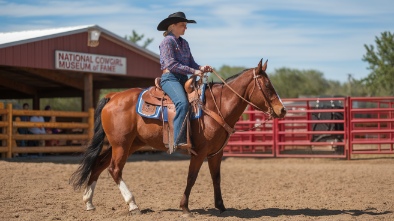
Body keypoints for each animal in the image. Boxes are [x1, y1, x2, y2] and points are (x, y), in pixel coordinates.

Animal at [70, 57, 286, 217]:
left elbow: (216, 178)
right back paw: (133, 205)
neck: (215, 107)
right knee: (114, 169)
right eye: (268, 86)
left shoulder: (216, 153)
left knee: (99, 164)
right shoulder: (199, 153)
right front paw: (184, 207)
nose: (282, 110)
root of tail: (113, 96)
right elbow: (191, 177)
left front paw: (221, 206)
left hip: (128, 144)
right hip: (121, 145)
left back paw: (89, 202)